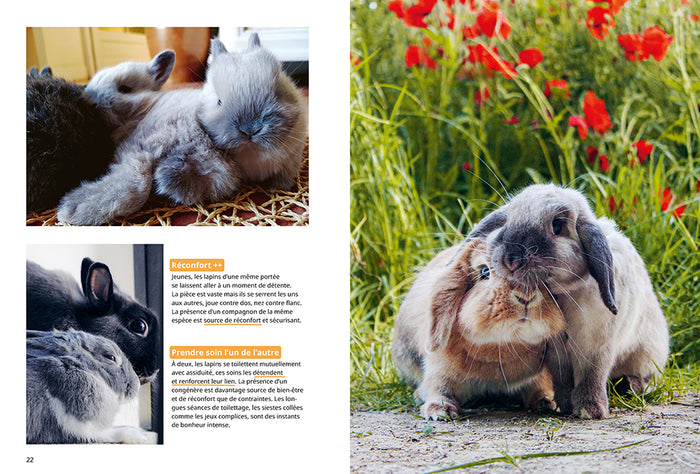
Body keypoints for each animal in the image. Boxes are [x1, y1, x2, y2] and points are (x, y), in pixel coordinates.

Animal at [392, 237, 566, 421]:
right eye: (484, 271)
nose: (526, 297)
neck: (500, 348)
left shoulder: (540, 375)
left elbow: (539, 385)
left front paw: (546, 402)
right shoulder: (438, 367)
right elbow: (438, 387)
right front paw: (439, 411)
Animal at [466, 183, 670, 419]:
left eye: (557, 226)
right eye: (508, 219)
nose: (510, 259)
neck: (562, 294)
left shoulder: (596, 346)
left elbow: (592, 376)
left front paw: (590, 410)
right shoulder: (556, 352)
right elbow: (563, 379)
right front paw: (565, 406)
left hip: (647, 354)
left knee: (645, 377)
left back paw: (629, 385)